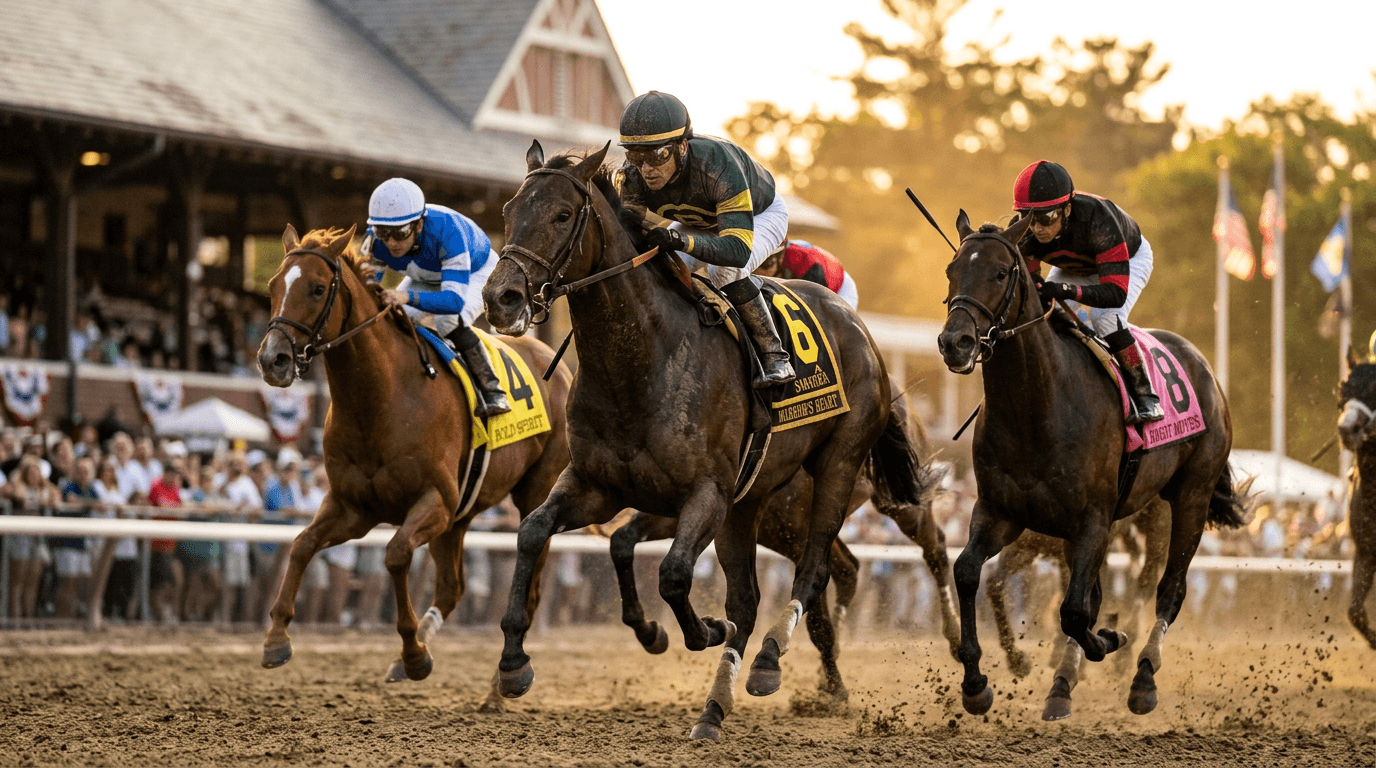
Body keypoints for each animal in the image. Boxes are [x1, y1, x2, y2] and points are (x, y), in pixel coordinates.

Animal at [256, 225, 572, 705]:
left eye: (316, 288)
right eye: (274, 286)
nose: (272, 359)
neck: (380, 399)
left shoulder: (434, 501)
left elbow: (395, 554)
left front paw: (414, 654)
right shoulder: (354, 507)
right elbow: (301, 545)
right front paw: (276, 639)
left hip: (534, 492)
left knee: (531, 590)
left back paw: (500, 686)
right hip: (461, 513)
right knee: (453, 587)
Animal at [608, 387, 960, 708]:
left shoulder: (799, 533)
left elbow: (817, 620)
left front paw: (833, 689)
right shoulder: (701, 509)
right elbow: (622, 540)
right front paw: (650, 632)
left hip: (897, 500)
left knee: (935, 548)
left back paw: (957, 638)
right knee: (850, 569)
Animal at [985, 496, 1170, 720]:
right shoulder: (1025, 545)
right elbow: (993, 584)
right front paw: (1018, 661)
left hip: (1158, 524)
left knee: (1146, 582)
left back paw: (1123, 657)